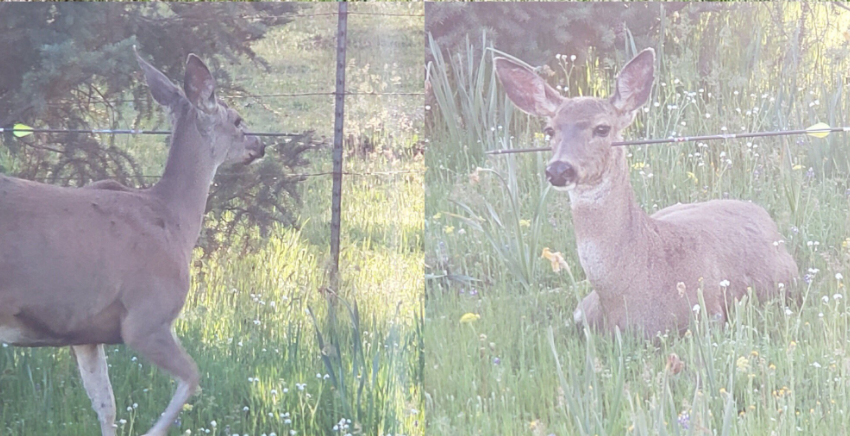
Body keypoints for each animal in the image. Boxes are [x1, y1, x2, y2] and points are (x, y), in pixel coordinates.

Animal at [0, 49, 264, 434]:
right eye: (237, 119)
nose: (261, 144)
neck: (174, 220)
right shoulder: (146, 315)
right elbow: (192, 377)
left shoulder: (85, 333)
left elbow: (106, 405)